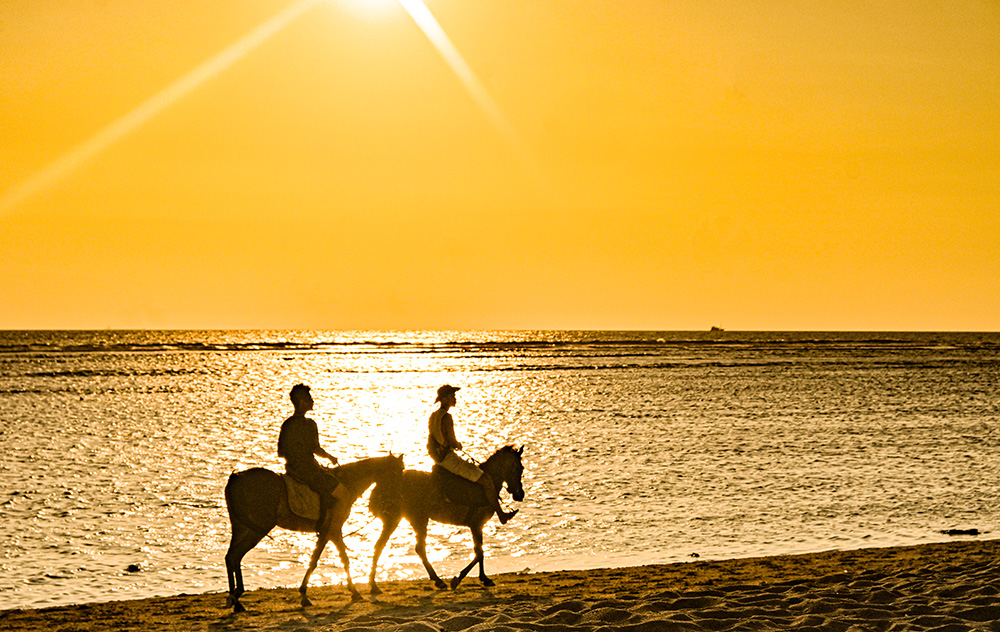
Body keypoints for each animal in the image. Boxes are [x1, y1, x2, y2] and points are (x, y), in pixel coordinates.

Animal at [223, 454, 402, 612]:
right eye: (398, 472)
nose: (392, 501)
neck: (347, 482)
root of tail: (236, 478)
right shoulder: (333, 530)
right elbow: (336, 559)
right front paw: (352, 591)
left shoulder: (328, 532)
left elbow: (319, 559)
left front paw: (305, 594)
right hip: (256, 529)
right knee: (235, 556)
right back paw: (236, 598)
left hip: (242, 528)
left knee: (231, 557)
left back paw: (236, 600)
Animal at [368, 444, 524, 592]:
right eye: (518, 468)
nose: (520, 494)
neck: (483, 488)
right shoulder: (476, 524)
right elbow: (479, 552)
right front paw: (459, 579)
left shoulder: (477, 526)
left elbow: (480, 552)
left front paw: (483, 578)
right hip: (416, 519)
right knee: (417, 548)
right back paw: (437, 580)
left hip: (399, 519)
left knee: (381, 546)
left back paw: (374, 584)